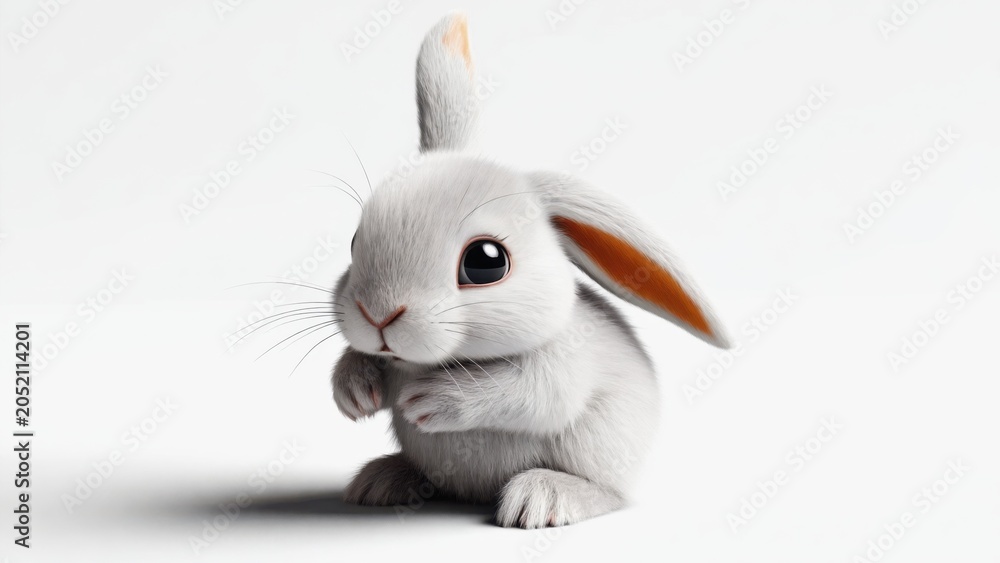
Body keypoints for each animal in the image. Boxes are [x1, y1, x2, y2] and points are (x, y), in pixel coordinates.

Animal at [330, 13, 730, 528]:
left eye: (486, 262)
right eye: (355, 240)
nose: (377, 314)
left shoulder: (563, 365)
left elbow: (532, 393)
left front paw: (429, 400)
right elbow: (358, 359)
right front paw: (355, 392)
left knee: (608, 493)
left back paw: (544, 496)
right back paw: (385, 479)